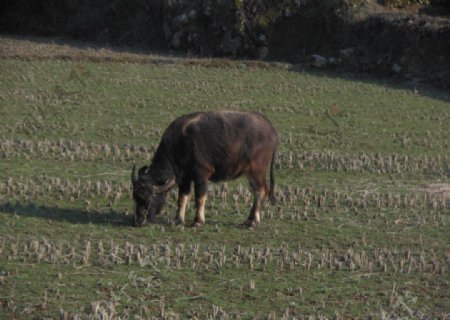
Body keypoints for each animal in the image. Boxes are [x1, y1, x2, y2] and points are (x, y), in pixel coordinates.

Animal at [130, 110, 278, 228]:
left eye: (147, 198)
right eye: (135, 198)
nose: (138, 221)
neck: (181, 145)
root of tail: (270, 129)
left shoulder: (201, 176)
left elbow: (200, 198)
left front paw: (198, 221)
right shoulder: (184, 179)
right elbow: (182, 198)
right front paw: (178, 219)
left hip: (256, 171)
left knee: (261, 191)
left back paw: (252, 221)